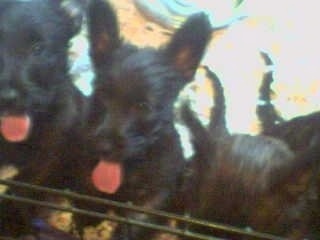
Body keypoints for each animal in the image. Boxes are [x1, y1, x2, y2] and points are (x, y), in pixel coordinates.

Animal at [73, 0, 212, 239]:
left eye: (143, 107)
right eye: (101, 95)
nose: (102, 148)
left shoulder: (155, 197)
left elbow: (136, 221)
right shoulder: (86, 176)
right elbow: (87, 200)